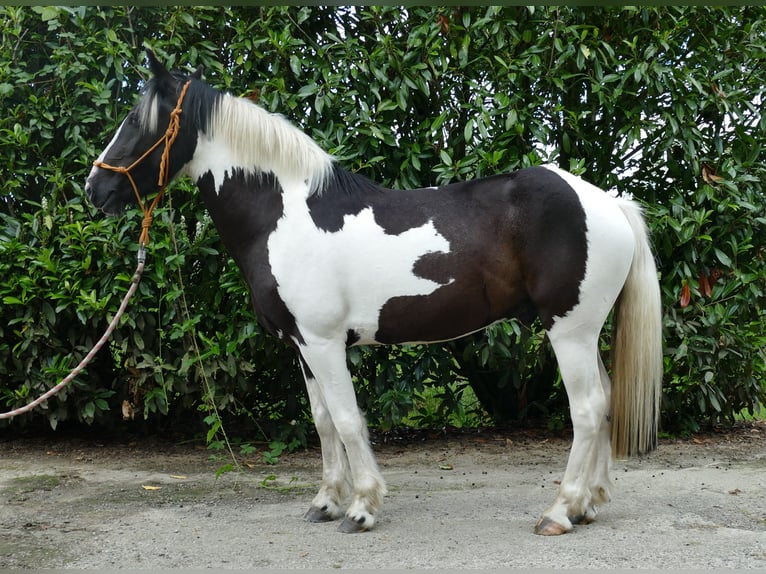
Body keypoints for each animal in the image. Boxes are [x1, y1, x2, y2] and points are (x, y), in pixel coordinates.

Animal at [84, 51, 664, 536]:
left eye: (136, 120)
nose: (94, 189)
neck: (284, 216)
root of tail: (609, 202)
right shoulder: (302, 346)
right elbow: (322, 422)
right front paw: (325, 502)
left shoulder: (323, 343)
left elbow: (346, 420)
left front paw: (361, 508)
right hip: (584, 333)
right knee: (605, 402)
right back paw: (589, 505)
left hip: (570, 330)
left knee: (587, 409)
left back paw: (560, 512)